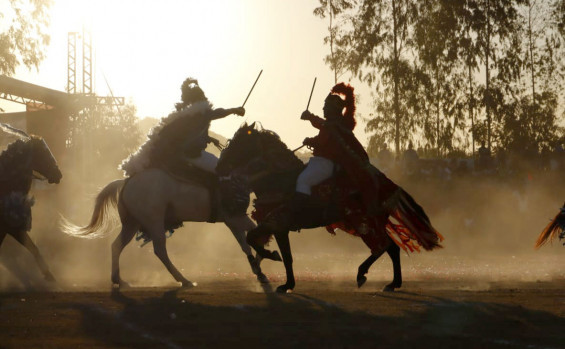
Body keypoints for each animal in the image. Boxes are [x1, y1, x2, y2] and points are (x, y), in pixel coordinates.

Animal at [0, 123, 62, 282]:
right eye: (44, 152)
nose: (58, 174)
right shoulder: (12, 228)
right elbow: (32, 248)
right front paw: (48, 275)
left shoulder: (10, 229)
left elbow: (34, 248)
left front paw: (49, 276)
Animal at [61, 164, 264, 286]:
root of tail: (125, 182)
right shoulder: (236, 219)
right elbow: (255, 235)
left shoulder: (233, 222)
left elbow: (246, 245)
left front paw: (258, 269)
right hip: (154, 222)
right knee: (160, 250)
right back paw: (183, 279)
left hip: (131, 224)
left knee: (117, 246)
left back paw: (118, 279)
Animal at [216, 121, 440, 290]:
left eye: (239, 143)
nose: (219, 167)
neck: (280, 179)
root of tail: (390, 186)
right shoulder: (280, 228)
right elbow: (285, 255)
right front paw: (288, 283)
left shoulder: (277, 222)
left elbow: (254, 239)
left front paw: (271, 257)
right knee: (391, 248)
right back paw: (393, 283)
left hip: (364, 222)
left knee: (383, 246)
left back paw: (363, 274)